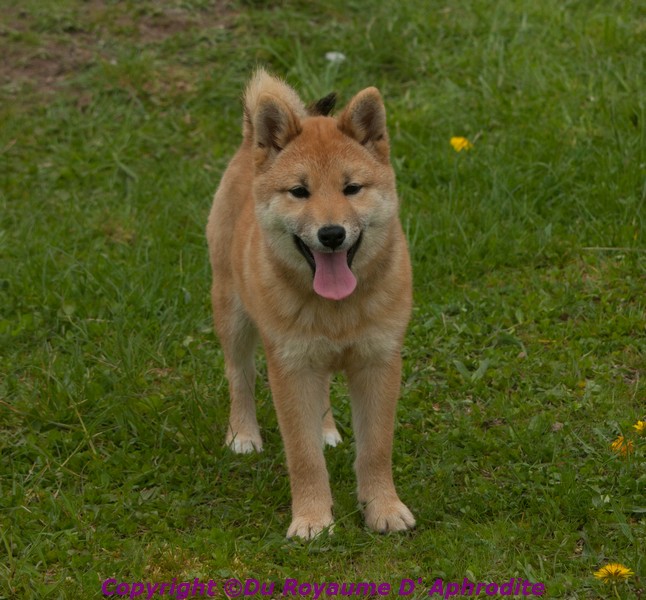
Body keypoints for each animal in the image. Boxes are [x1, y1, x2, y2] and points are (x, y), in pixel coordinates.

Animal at [206, 69, 415, 539]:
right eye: (299, 192)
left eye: (351, 188)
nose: (332, 234)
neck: (336, 310)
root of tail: (248, 143)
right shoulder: (291, 367)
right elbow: (302, 457)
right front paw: (313, 518)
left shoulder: (378, 363)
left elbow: (376, 447)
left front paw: (383, 507)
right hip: (233, 314)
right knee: (239, 376)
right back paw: (242, 435)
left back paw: (326, 429)